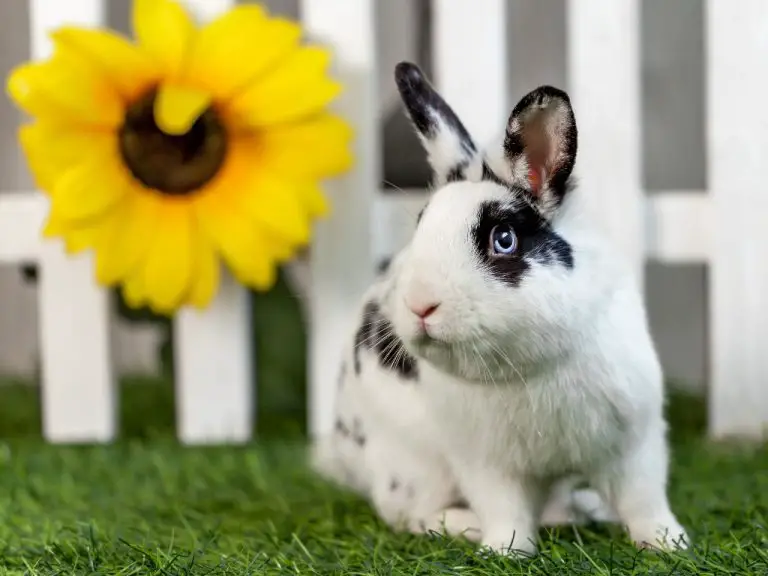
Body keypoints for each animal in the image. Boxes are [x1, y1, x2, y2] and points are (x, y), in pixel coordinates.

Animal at [312, 59, 688, 560]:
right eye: (420, 226)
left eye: (504, 239)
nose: (419, 304)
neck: (530, 366)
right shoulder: (486, 464)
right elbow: (505, 510)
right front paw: (504, 552)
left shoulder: (635, 440)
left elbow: (644, 500)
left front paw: (668, 544)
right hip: (410, 464)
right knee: (409, 514)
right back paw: (468, 526)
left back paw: (582, 511)